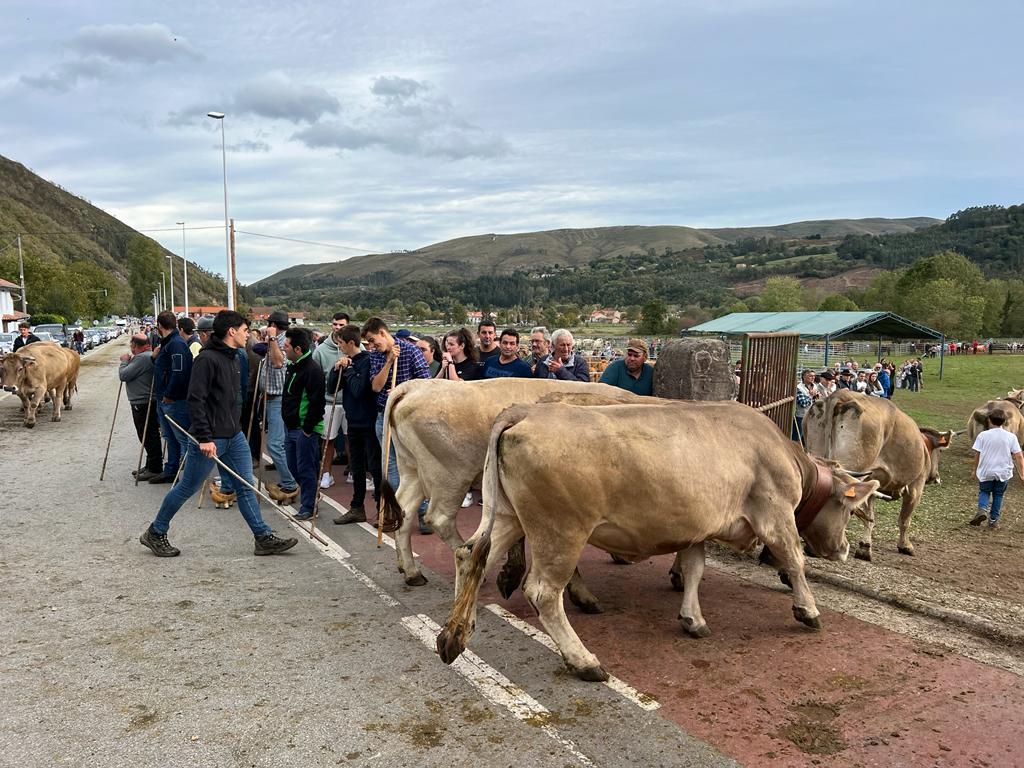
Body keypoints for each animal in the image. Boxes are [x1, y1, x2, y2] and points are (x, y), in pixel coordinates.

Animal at [385, 378, 638, 606]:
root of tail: (415, 386)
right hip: (448, 477)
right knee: (440, 519)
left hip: (411, 469)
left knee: (404, 511)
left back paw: (411, 572)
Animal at [436, 399, 876, 684]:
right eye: (849, 510)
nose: (845, 550)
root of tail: (527, 410)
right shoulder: (775, 514)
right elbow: (795, 561)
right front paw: (808, 610)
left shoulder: (696, 525)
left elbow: (695, 569)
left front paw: (693, 619)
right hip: (560, 530)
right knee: (543, 592)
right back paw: (584, 661)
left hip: (509, 516)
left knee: (470, 555)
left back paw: (455, 632)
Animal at [802, 391, 954, 561]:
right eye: (940, 452)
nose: (937, 477)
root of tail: (839, 395)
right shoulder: (916, 487)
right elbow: (904, 519)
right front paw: (905, 546)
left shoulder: (872, 483)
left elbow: (869, 517)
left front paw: (865, 547)